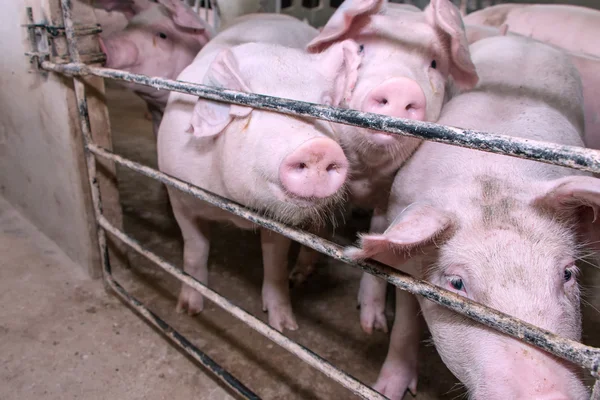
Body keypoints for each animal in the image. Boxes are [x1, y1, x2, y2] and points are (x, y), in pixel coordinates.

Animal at [158, 13, 360, 332]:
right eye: (255, 105)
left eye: (327, 107)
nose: (318, 148)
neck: (236, 209)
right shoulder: (179, 193)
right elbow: (194, 250)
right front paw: (188, 310)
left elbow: (275, 264)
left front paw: (285, 326)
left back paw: (299, 277)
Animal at [344, 35, 592, 400]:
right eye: (456, 283)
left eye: (567, 274)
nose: (548, 394)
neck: (490, 176)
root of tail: (523, 39)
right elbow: (405, 323)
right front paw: (386, 389)